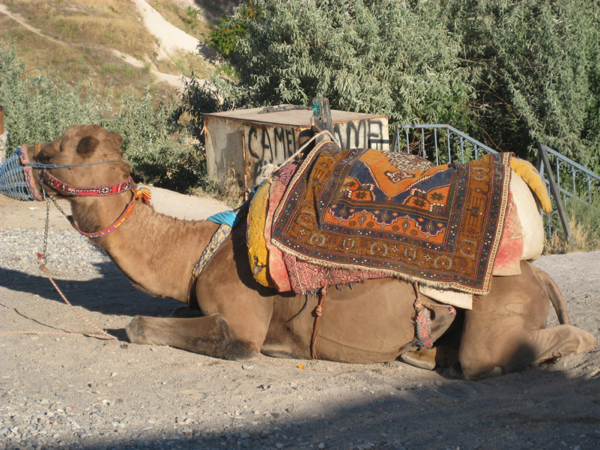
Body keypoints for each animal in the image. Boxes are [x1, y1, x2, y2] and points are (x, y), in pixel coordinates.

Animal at [22, 124, 596, 380]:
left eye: (63, 147)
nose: (27, 152)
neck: (194, 253)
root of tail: (535, 272)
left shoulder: (242, 326)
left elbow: (140, 326)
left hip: (501, 309)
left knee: (499, 356)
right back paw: (427, 352)